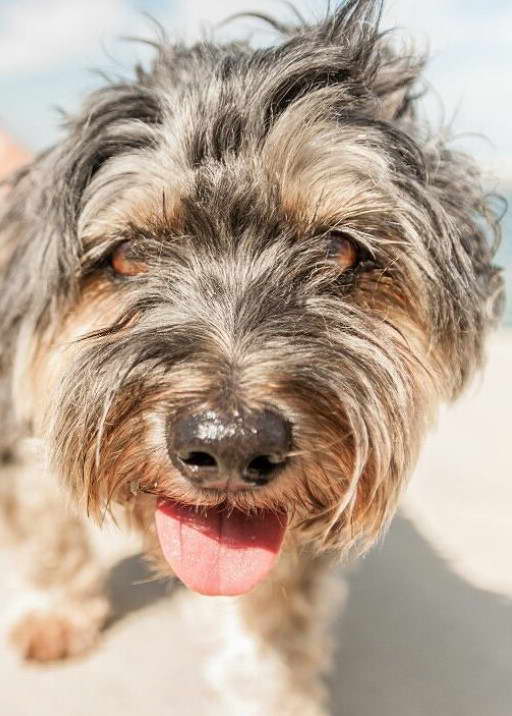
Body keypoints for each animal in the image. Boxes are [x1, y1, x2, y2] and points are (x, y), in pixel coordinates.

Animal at [0, 0, 504, 712]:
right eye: (127, 255)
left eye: (341, 250)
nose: (231, 443)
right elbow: (45, 529)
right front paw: (54, 612)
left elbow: (271, 636)